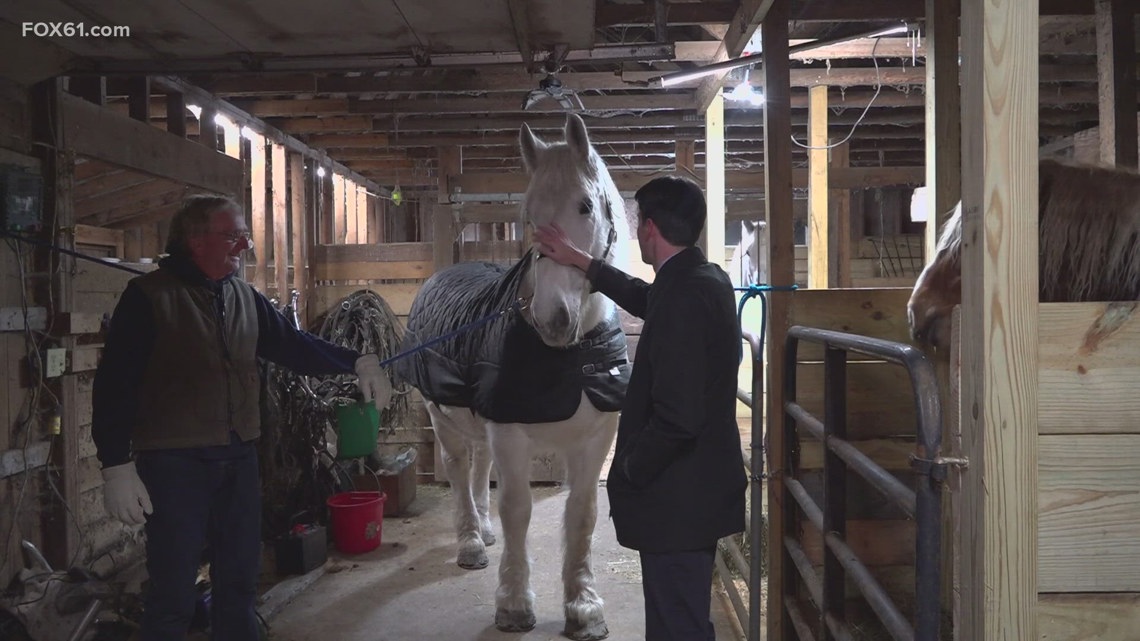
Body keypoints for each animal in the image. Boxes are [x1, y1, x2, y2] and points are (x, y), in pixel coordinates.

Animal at [396, 114, 630, 641]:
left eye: (586, 206)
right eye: (528, 215)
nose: (552, 318)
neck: (570, 356)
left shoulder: (594, 439)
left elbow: (582, 515)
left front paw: (583, 608)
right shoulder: (510, 435)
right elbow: (518, 510)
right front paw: (514, 604)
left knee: (479, 468)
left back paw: (482, 531)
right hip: (442, 417)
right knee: (459, 470)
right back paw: (470, 542)